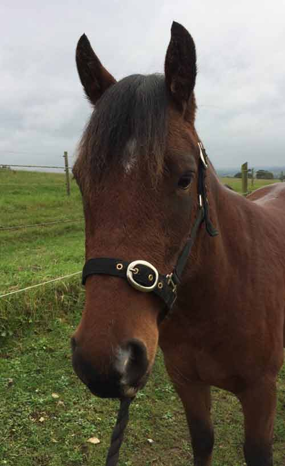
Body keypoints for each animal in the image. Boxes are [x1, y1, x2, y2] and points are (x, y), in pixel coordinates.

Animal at [71, 21, 284, 466]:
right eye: (81, 179)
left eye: (185, 178)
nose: (103, 361)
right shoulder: (187, 381)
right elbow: (202, 440)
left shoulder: (261, 393)